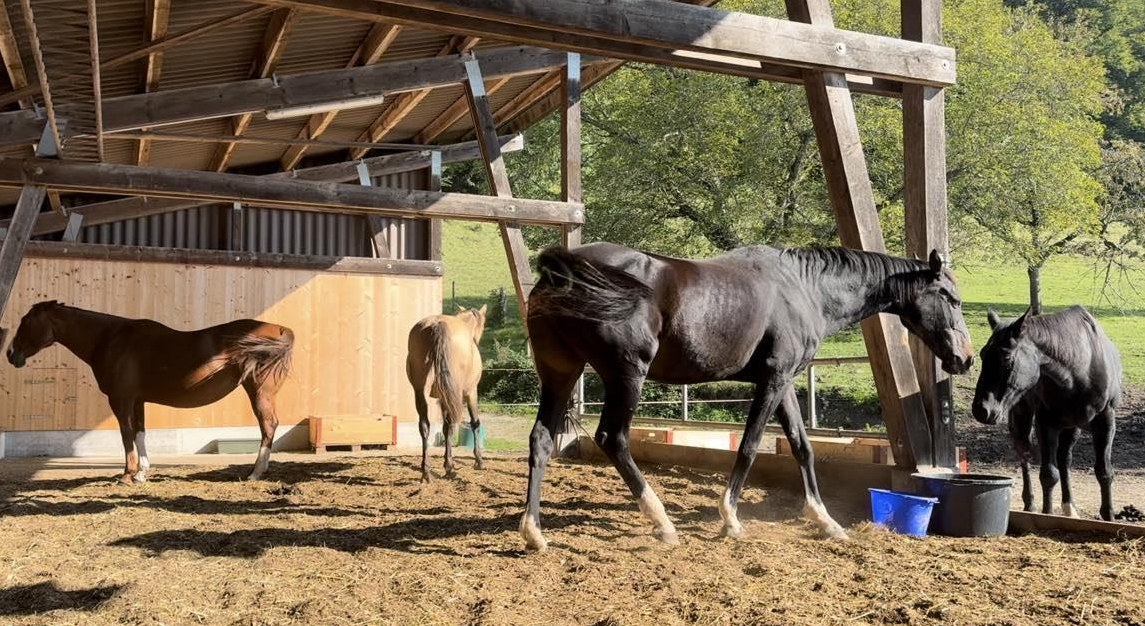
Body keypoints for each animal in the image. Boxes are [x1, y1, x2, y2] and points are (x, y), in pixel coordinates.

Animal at [6, 301, 294, 483]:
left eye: (26, 321)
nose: (11, 354)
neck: (109, 339)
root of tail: (280, 329)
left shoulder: (120, 400)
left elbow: (126, 434)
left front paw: (127, 475)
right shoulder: (138, 400)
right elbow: (140, 433)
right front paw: (142, 473)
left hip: (259, 391)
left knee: (268, 425)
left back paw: (255, 473)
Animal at [406, 304, 487, 483]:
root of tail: (437, 325)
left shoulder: (443, 398)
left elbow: (444, 428)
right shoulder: (471, 392)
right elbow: (474, 423)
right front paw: (478, 460)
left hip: (420, 392)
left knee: (425, 426)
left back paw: (426, 471)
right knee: (451, 425)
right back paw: (448, 469)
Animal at [521, 242, 974, 551]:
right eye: (950, 299)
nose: (965, 358)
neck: (804, 289)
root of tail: (563, 273)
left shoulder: (785, 381)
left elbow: (803, 447)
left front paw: (825, 520)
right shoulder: (772, 380)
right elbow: (751, 445)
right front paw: (730, 519)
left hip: (561, 373)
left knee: (541, 439)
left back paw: (534, 531)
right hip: (627, 375)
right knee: (612, 438)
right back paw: (662, 522)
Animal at [971, 306, 1121, 520]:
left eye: (1006, 357)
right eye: (983, 354)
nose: (981, 409)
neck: (1078, 369)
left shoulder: (1106, 420)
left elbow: (1104, 471)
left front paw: (1108, 516)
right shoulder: (1045, 422)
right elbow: (1049, 475)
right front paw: (1047, 513)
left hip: (1072, 425)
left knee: (1064, 459)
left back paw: (1069, 507)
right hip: (1023, 415)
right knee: (1024, 453)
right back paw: (1030, 502)